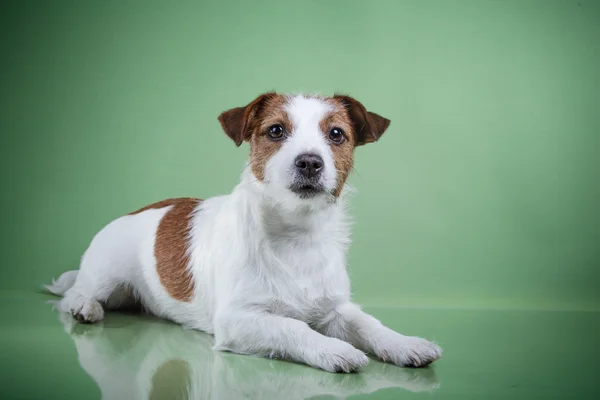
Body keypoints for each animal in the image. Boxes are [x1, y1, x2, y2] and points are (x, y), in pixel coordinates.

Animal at [44, 93, 442, 372]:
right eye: (276, 131)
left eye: (336, 134)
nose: (310, 162)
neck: (296, 234)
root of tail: (134, 212)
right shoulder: (238, 319)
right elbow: (295, 328)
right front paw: (334, 349)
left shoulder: (336, 309)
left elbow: (368, 324)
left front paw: (405, 344)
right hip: (104, 276)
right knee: (73, 294)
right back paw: (85, 307)